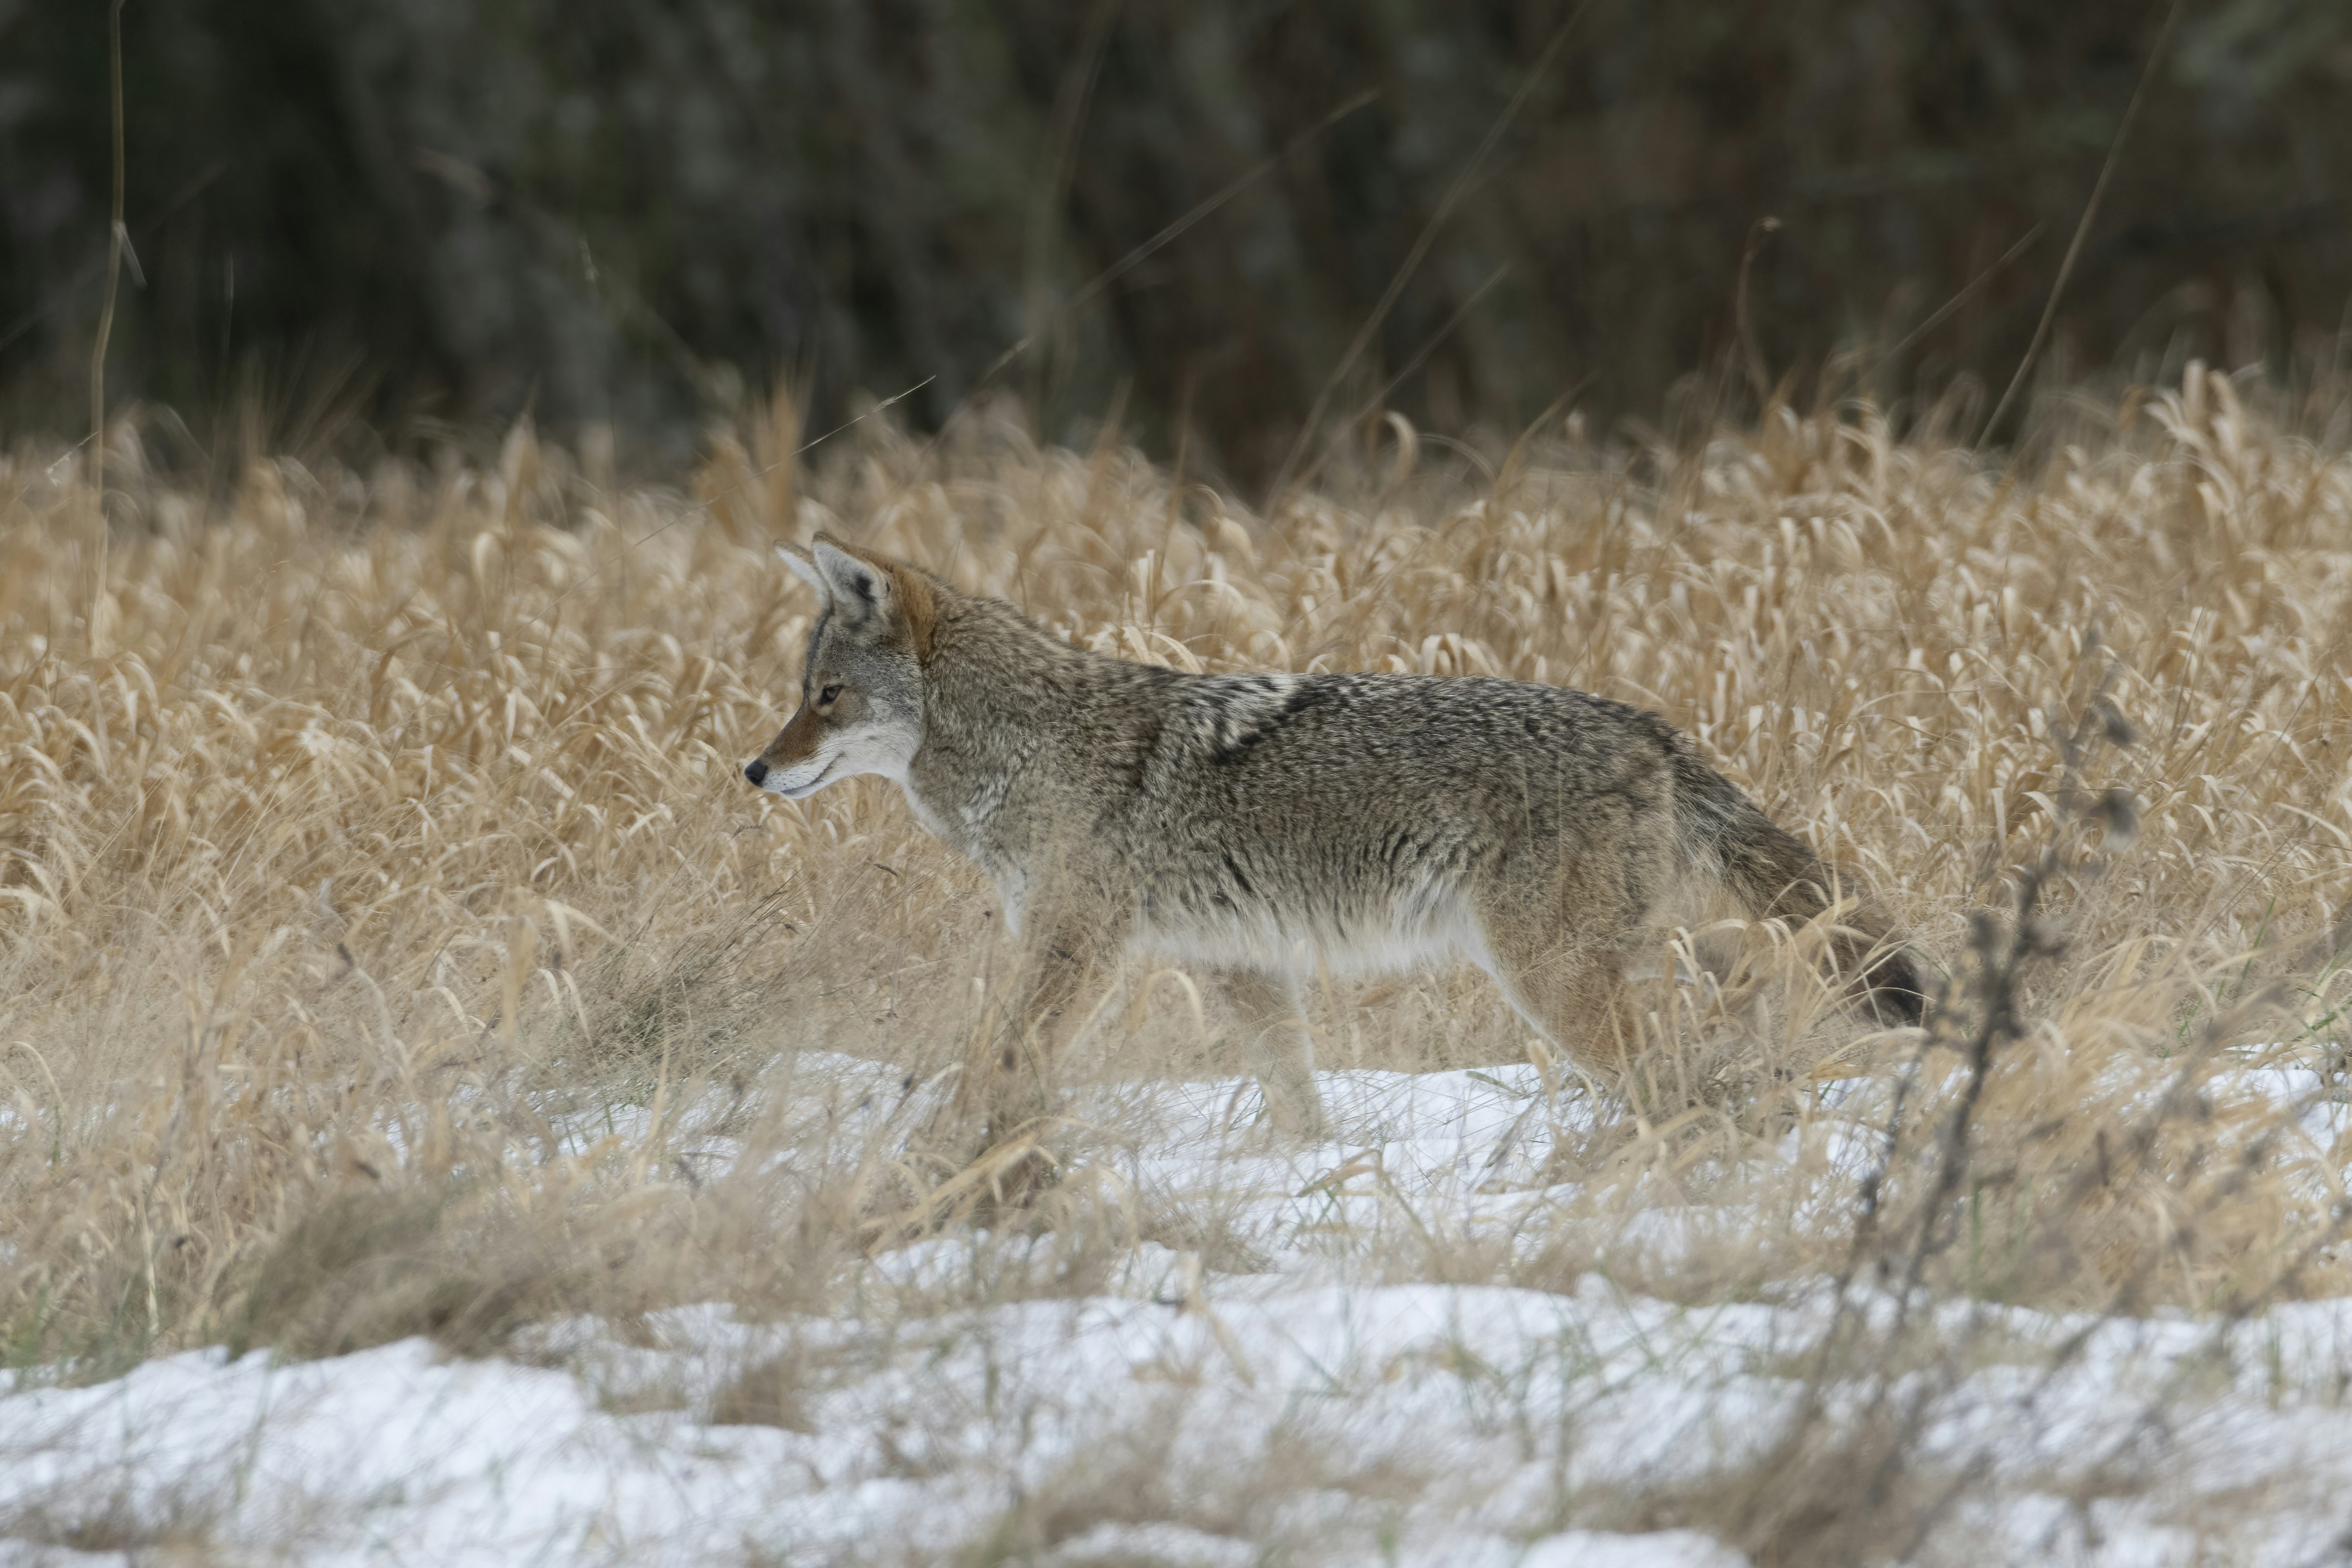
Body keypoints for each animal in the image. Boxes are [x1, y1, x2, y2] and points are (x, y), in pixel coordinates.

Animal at [745, 534, 1923, 1139]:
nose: (754, 770)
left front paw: (950, 1155)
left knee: (1686, 1073)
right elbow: (1296, 1096)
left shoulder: (1074, 946)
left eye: (825, 696)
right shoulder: (1240, 963)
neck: (1027, 747)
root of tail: (1651, 728)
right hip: (1640, 956)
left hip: (1552, 978)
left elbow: (997, 1066)